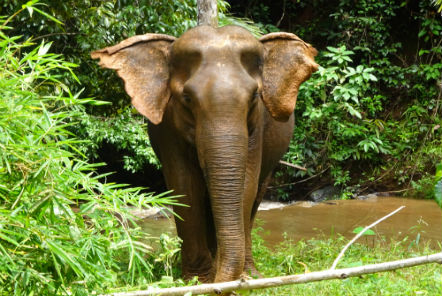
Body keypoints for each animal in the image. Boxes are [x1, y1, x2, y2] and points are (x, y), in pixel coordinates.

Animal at [91, 25, 316, 284]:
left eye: (254, 97)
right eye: (187, 99)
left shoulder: (257, 127)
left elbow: (246, 186)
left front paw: (223, 278)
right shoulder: (168, 128)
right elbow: (184, 187)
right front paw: (197, 281)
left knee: (256, 195)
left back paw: (250, 273)